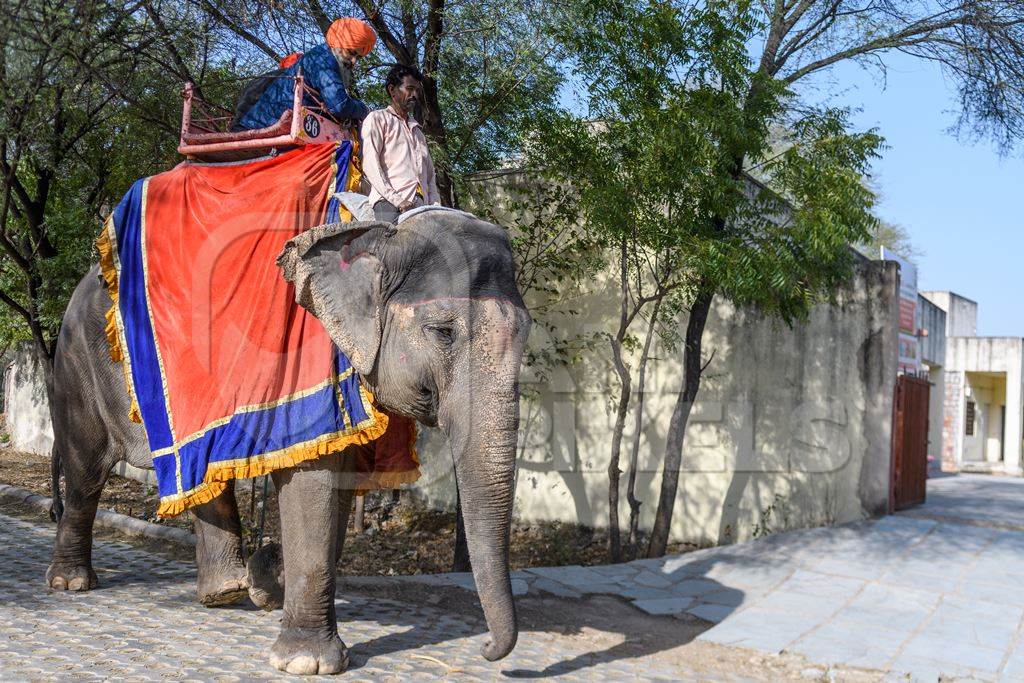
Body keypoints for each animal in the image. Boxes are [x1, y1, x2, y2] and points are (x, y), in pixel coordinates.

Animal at [45, 215, 532, 679]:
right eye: (443, 332)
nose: (487, 650)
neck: (380, 229)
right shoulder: (309, 361)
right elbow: (313, 483)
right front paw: (307, 662)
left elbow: (338, 486)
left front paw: (272, 591)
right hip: (77, 366)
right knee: (86, 472)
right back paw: (72, 583)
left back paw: (226, 592)